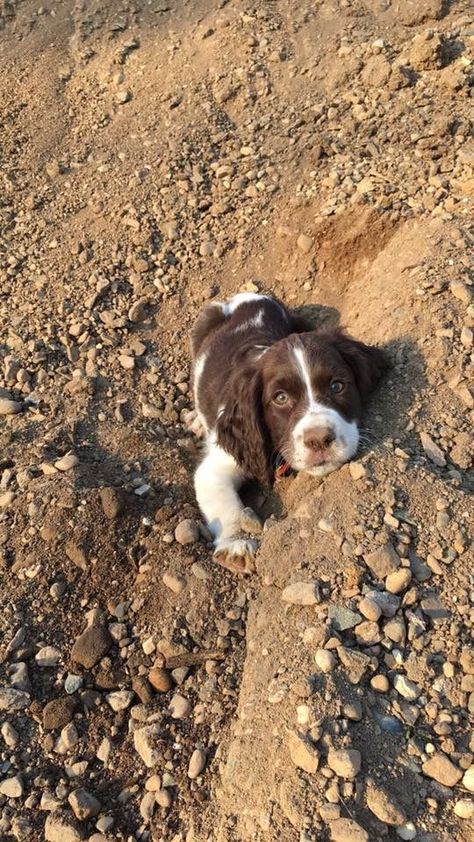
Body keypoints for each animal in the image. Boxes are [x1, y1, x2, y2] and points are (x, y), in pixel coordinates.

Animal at [190, 290, 388, 572]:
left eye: (337, 386)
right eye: (280, 398)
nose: (318, 440)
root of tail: (247, 296)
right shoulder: (222, 459)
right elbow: (222, 499)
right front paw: (237, 544)